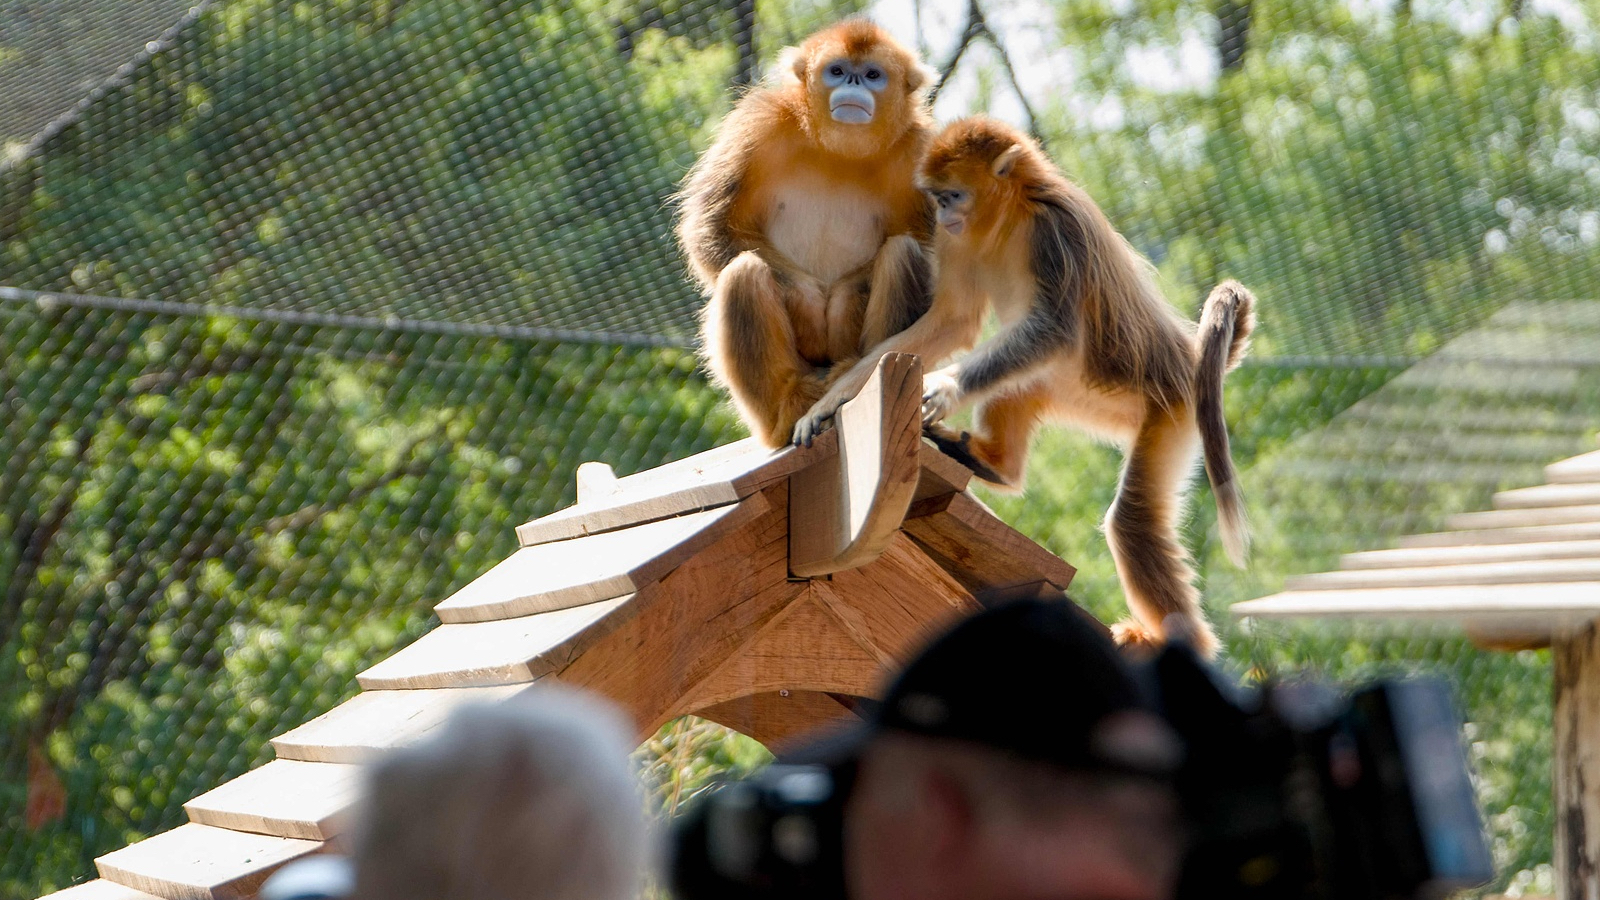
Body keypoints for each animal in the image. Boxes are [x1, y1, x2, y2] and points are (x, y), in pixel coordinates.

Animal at [676, 20, 938, 448]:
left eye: (872, 75)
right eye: (837, 70)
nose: (852, 82)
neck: (839, 152)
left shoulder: (921, 149)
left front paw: (843, 303)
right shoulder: (759, 121)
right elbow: (712, 227)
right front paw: (809, 306)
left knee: (904, 253)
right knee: (744, 272)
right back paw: (791, 404)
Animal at [796, 116, 1255, 657]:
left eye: (953, 194)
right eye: (938, 198)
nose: (944, 212)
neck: (1009, 220)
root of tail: (1191, 358)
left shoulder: (1054, 231)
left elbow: (1054, 328)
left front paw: (945, 387)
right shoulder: (954, 240)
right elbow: (951, 322)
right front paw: (832, 401)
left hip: (1172, 410)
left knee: (1132, 521)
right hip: (1079, 394)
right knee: (1015, 383)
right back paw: (992, 463)